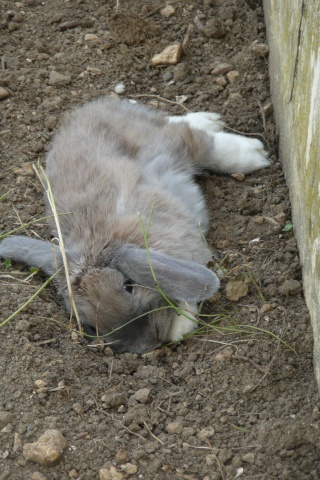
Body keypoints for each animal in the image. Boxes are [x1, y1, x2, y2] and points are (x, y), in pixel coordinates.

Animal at [0, 96, 270, 352]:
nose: (152, 342)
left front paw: (180, 325)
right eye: (90, 325)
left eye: (129, 286)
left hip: (171, 148)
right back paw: (211, 121)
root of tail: (92, 108)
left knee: (199, 141)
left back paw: (254, 154)